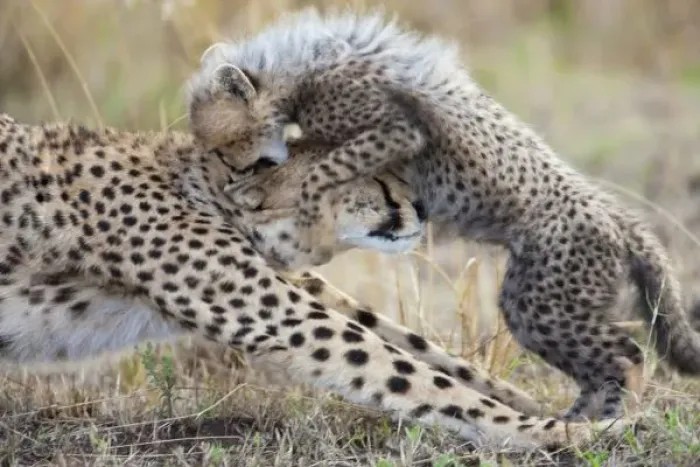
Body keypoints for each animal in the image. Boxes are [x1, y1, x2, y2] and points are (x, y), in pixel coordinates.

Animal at [0, 112, 635, 450]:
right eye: (373, 177)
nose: (421, 208)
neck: (202, 187)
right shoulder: (274, 307)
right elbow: (404, 372)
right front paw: (558, 433)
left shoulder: (284, 283)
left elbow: (410, 343)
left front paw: (546, 402)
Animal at [185, 8, 700, 422]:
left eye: (227, 145)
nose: (233, 169)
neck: (297, 68)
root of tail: (617, 217)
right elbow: (318, 159)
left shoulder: (394, 128)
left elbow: (328, 165)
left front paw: (287, 195)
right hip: (540, 303)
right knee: (604, 363)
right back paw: (578, 418)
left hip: (541, 302)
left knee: (627, 355)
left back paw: (606, 418)